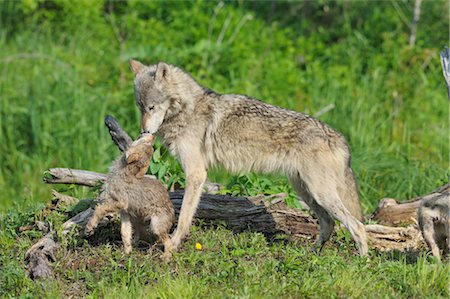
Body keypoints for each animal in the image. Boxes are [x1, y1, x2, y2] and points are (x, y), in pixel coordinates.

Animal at [128, 59, 368, 256]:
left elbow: (185, 217)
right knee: (329, 224)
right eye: (140, 108)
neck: (187, 110)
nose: (144, 132)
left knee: (358, 226)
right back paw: (311, 255)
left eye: (152, 107)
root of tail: (337, 136)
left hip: (320, 193)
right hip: (306, 192)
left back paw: (362, 262)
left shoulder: (196, 174)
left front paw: (173, 245)